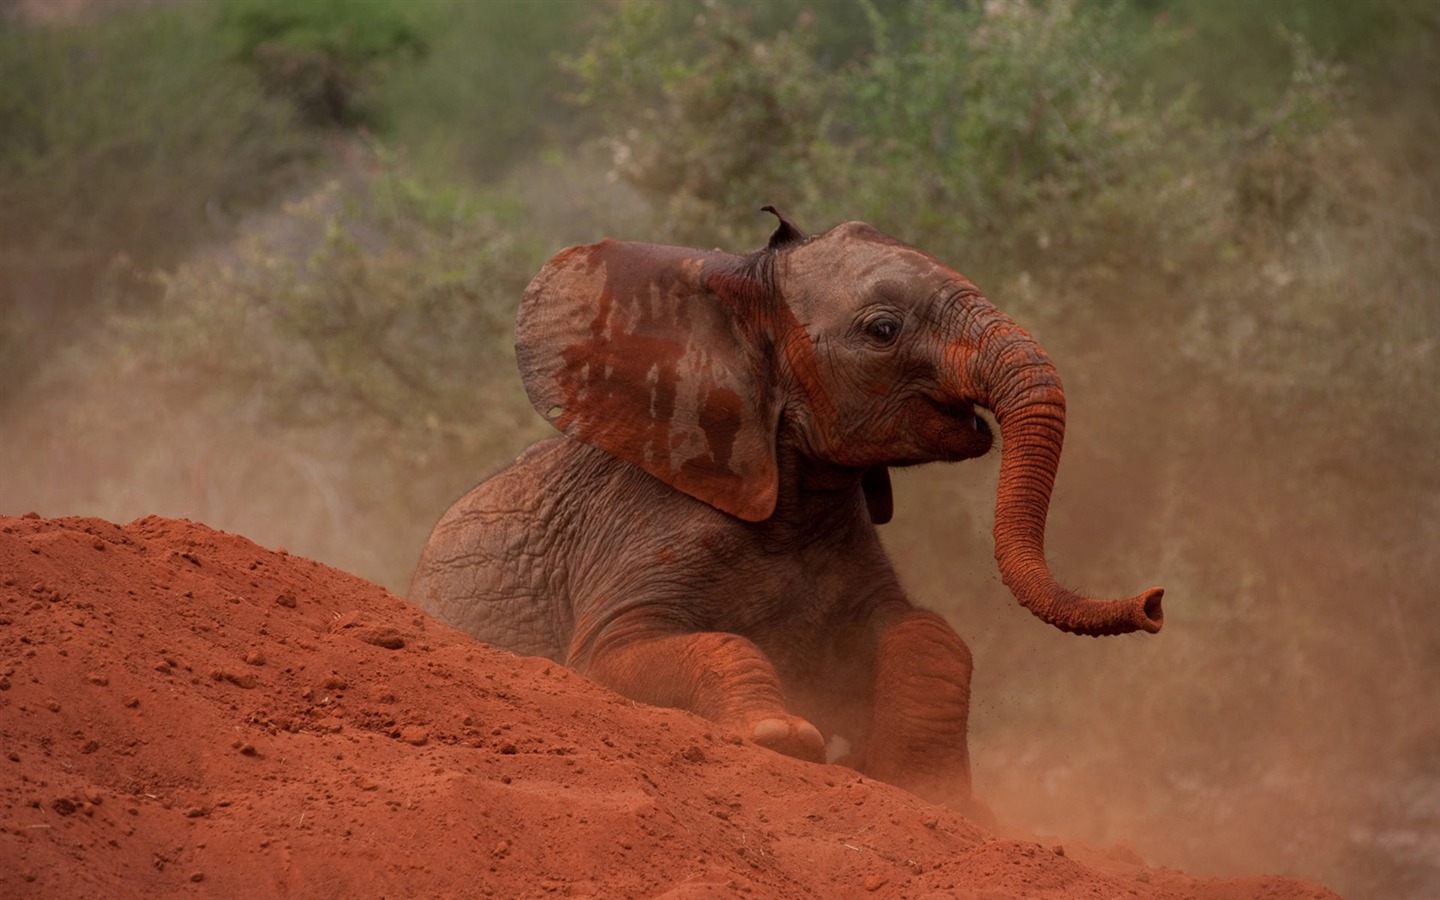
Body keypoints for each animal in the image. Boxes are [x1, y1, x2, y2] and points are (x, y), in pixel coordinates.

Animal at [408, 210, 1157, 806]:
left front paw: (921, 783)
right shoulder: (638, 532)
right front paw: (784, 736)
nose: (1154, 603)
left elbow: (927, 633)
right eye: (883, 330)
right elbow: (616, 656)